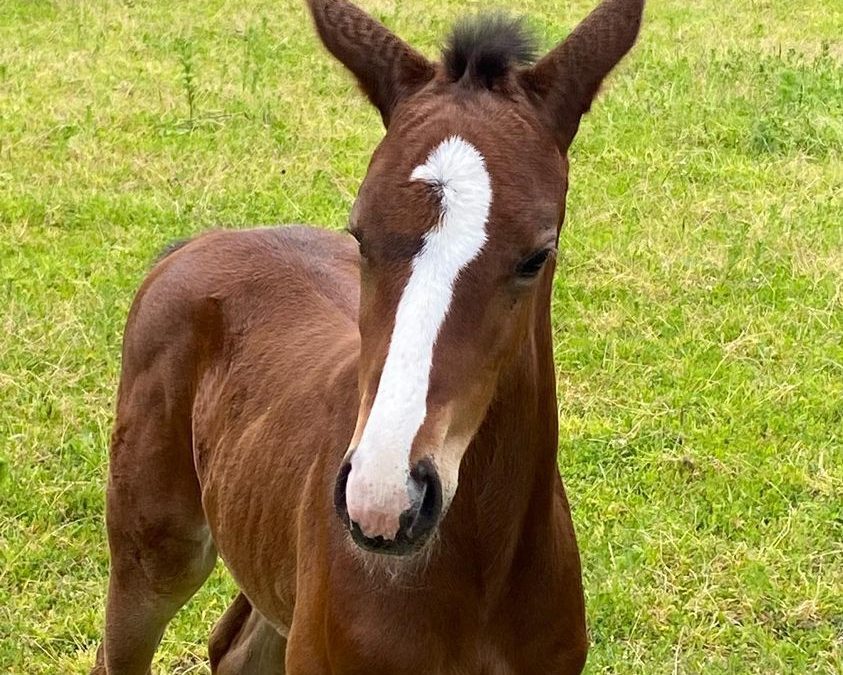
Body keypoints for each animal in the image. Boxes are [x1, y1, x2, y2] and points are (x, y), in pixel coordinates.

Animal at [94, 2, 648, 672]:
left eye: (536, 256)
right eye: (360, 234)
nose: (384, 496)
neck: (477, 581)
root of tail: (201, 242)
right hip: (152, 552)